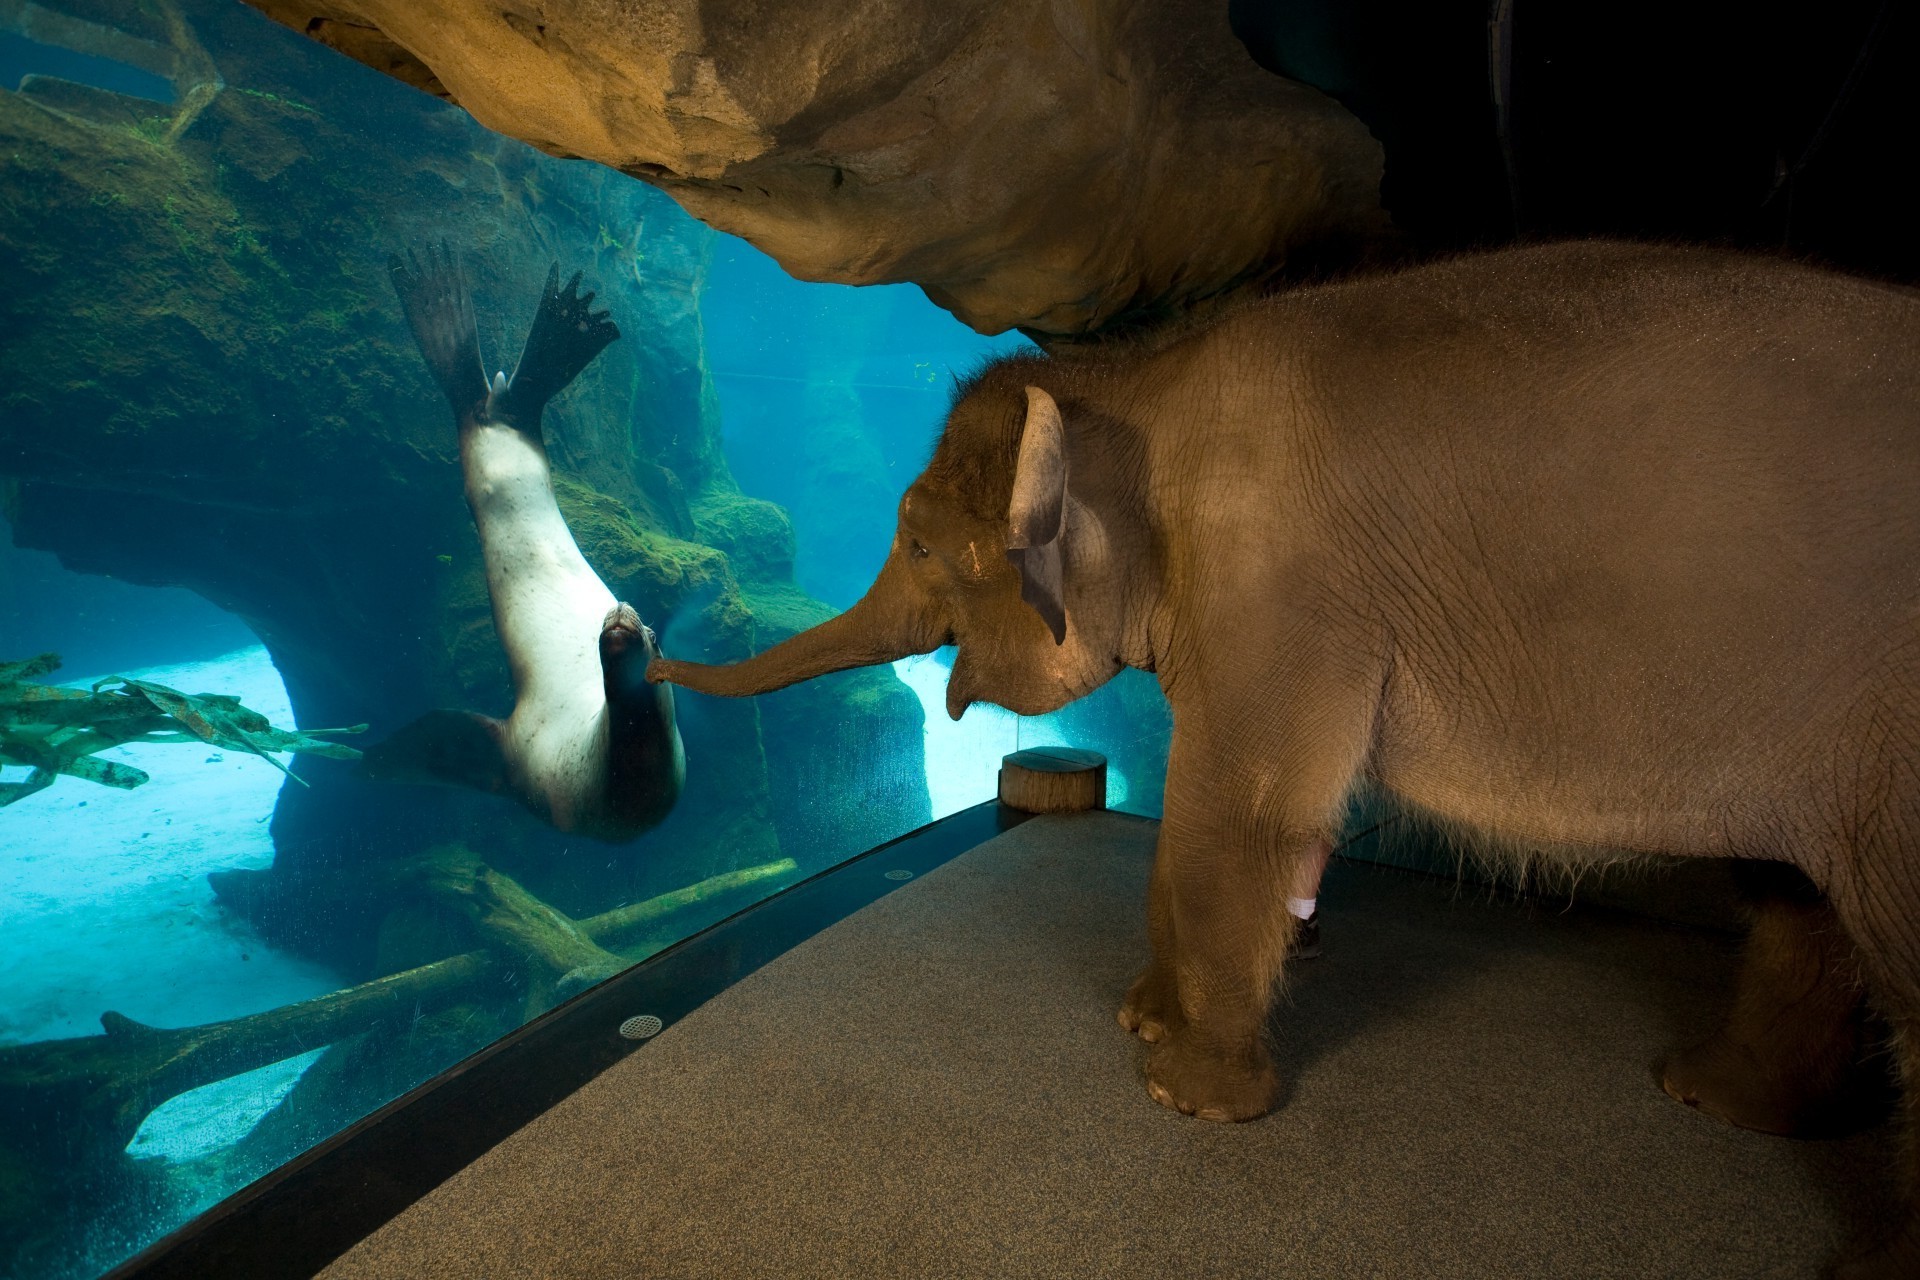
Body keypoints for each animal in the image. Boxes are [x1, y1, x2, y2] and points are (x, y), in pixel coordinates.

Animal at [652, 242, 1920, 1280]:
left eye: (916, 542)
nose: (644, 648)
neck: (1141, 378)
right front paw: (1143, 1019)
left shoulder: (1285, 586)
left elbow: (1240, 815)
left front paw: (1191, 1096)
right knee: (1800, 898)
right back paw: (1717, 1096)